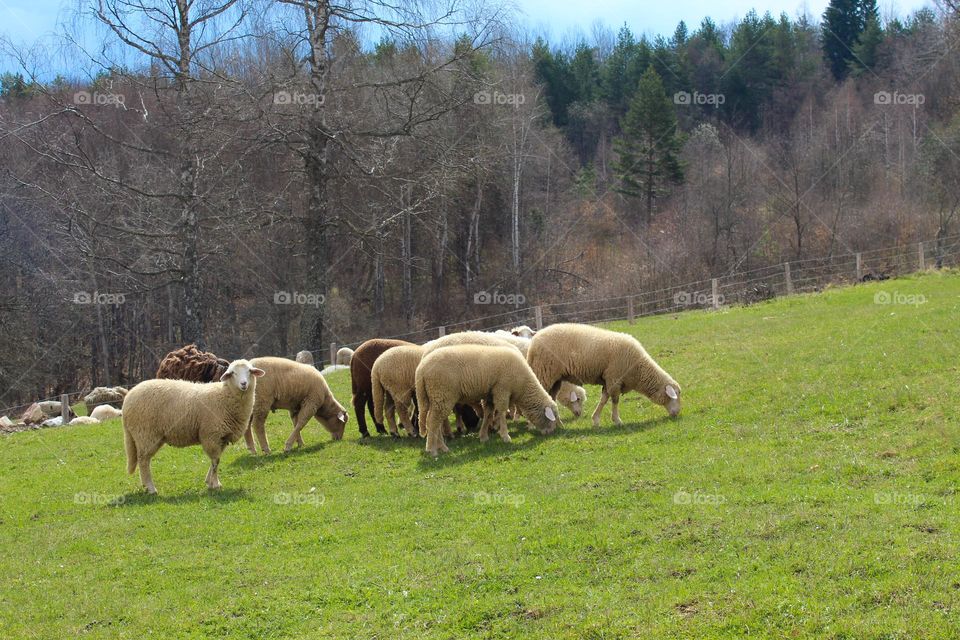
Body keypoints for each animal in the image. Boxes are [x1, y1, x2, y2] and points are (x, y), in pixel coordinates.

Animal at [124, 360, 266, 496]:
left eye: (250, 371)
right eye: (233, 373)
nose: (243, 384)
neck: (224, 396)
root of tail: (128, 398)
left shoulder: (222, 437)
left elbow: (216, 460)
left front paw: (210, 481)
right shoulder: (211, 435)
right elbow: (215, 461)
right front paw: (214, 484)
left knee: (143, 459)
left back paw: (146, 487)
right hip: (145, 434)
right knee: (143, 461)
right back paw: (151, 488)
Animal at [414, 344, 564, 456]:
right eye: (552, 418)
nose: (550, 433)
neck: (523, 385)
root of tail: (421, 370)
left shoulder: (490, 394)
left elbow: (488, 413)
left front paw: (483, 437)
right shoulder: (502, 389)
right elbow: (502, 412)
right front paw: (505, 436)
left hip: (433, 397)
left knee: (435, 422)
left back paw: (442, 448)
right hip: (442, 394)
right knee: (433, 421)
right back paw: (433, 450)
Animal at [524, 324, 684, 424]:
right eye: (675, 395)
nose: (677, 413)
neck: (639, 370)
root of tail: (533, 343)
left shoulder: (609, 380)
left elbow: (603, 399)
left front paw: (595, 419)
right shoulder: (615, 378)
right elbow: (615, 401)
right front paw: (617, 420)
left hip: (554, 379)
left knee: (550, 398)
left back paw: (558, 423)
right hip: (543, 372)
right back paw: (533, 425)